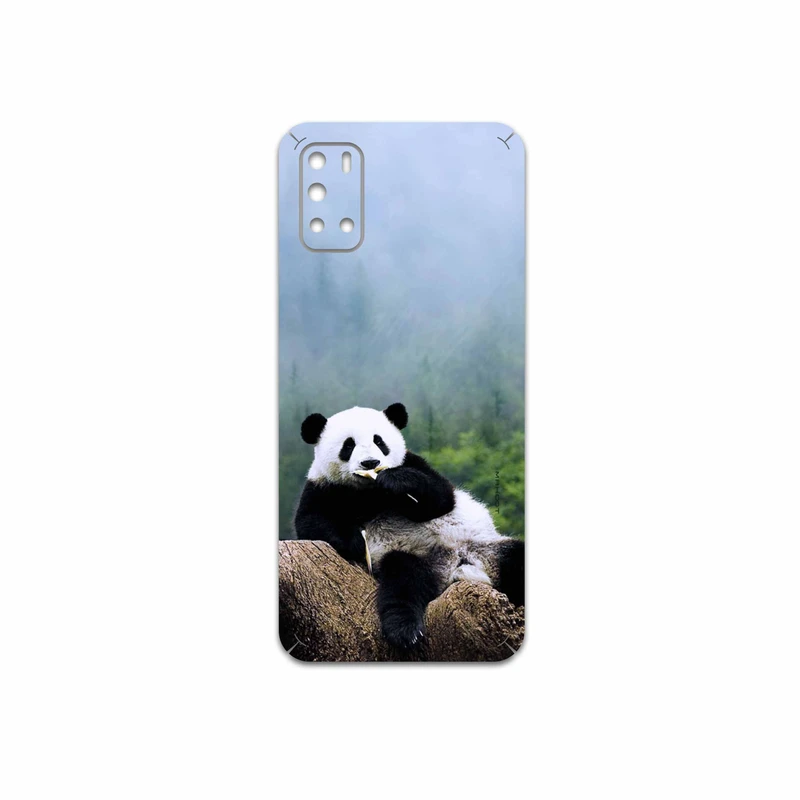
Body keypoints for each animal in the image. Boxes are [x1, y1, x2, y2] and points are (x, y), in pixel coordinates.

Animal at [294, 402, 524, 650]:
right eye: (349, 445)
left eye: (379, 441)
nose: (370, 463)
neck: (368, 492)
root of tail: (456, 565)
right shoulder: (323, 487)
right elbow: (310, 522)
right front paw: (356, 542)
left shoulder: (413, 463)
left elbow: (441, 497)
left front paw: (395, 481)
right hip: (416, 560)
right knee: (403, 582)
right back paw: (405, 631)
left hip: (486, 547)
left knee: (516, 557)